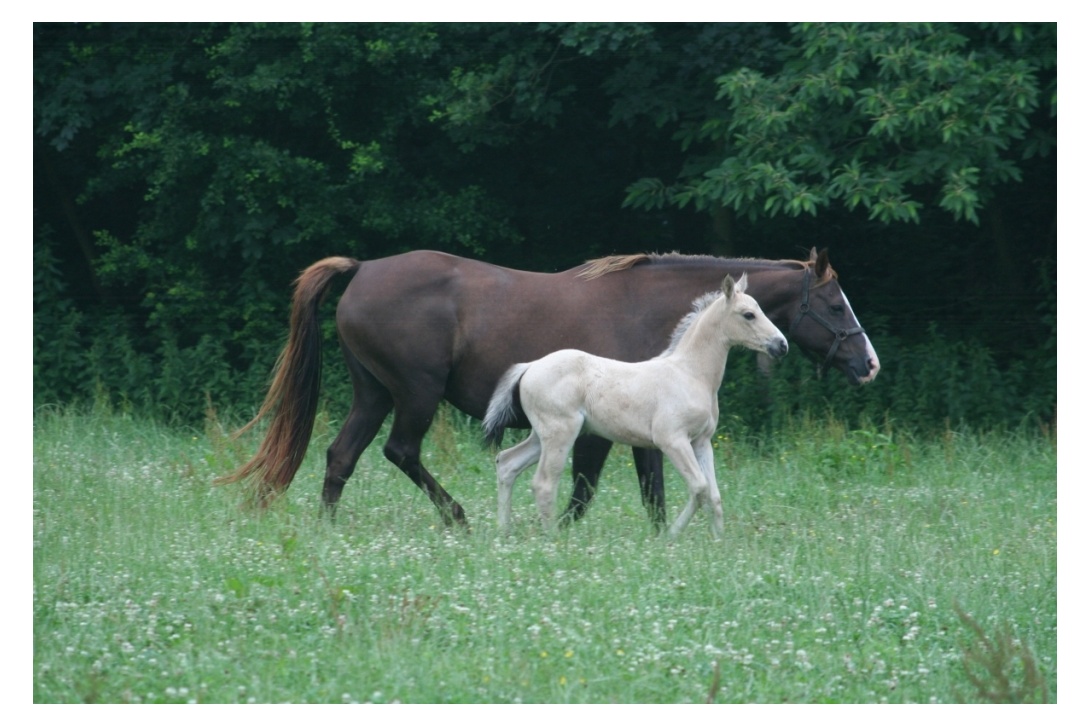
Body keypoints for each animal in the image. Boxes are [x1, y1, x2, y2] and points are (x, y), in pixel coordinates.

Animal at [219, 247, 876, 525]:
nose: (869, 363)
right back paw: (458, 517)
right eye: (835, 305)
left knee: (341, 455)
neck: (650, 309)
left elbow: (649, 492)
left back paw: (329, 528)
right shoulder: (611, 434)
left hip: (374, 394)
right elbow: (594, 491)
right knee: (399, 451)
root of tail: (362, 270)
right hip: (414, 395)